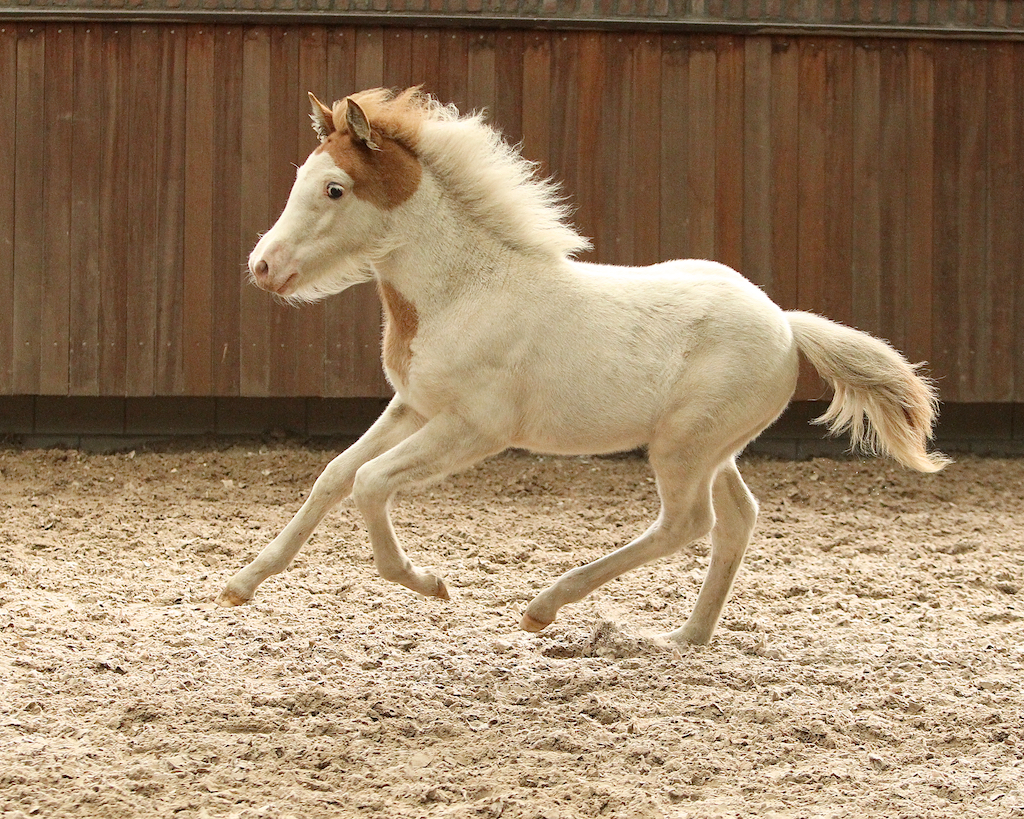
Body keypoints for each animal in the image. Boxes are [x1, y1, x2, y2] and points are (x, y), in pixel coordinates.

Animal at [218, 86, 950, 642]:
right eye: (300, 179)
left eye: (335, 189)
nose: (262, 266)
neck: (464, 290)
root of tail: (787, 325)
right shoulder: (414, 407)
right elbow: (334, 476)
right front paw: (241, 584)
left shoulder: (473, 429)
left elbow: (369, 483)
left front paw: (430, 584)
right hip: (714, 448)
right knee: (736, 519)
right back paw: (687, 636)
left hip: (683, 447)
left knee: (687, 524)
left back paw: (546, 606)